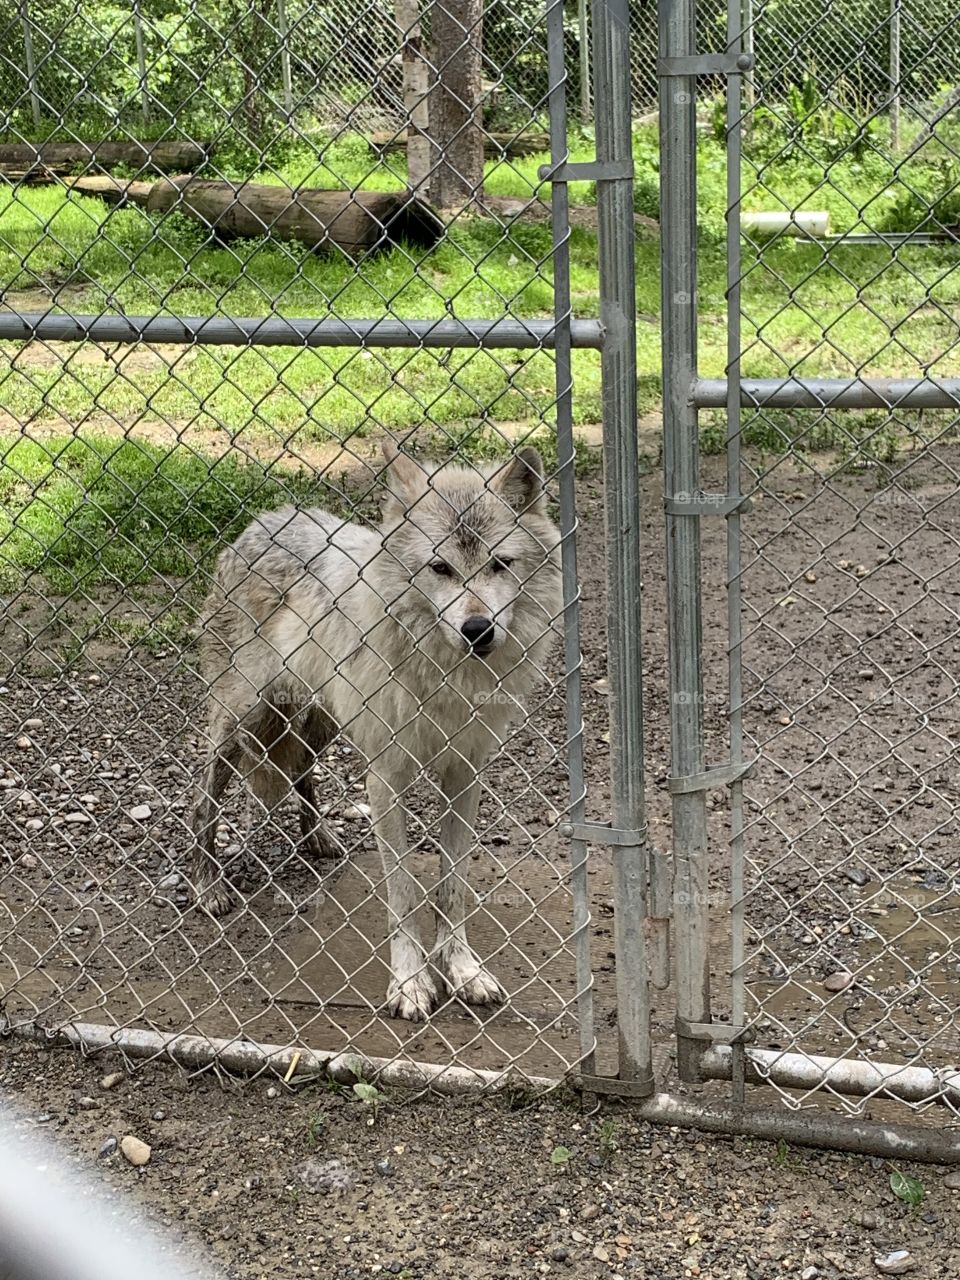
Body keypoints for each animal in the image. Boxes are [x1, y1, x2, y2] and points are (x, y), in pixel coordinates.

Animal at [190, 441, 562, 1021]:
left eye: (501, 564)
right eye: (440, 567)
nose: (477, 630)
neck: (444, 676)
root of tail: (263, 520)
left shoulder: (465, 775)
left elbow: (452, 885)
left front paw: (462, 970)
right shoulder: (386, 777)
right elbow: (404, 891)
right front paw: (409, 984)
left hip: (322, 721)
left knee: (301, 771)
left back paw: (318, 837)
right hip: (241, 722)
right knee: (203, 800)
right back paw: (208, 886)